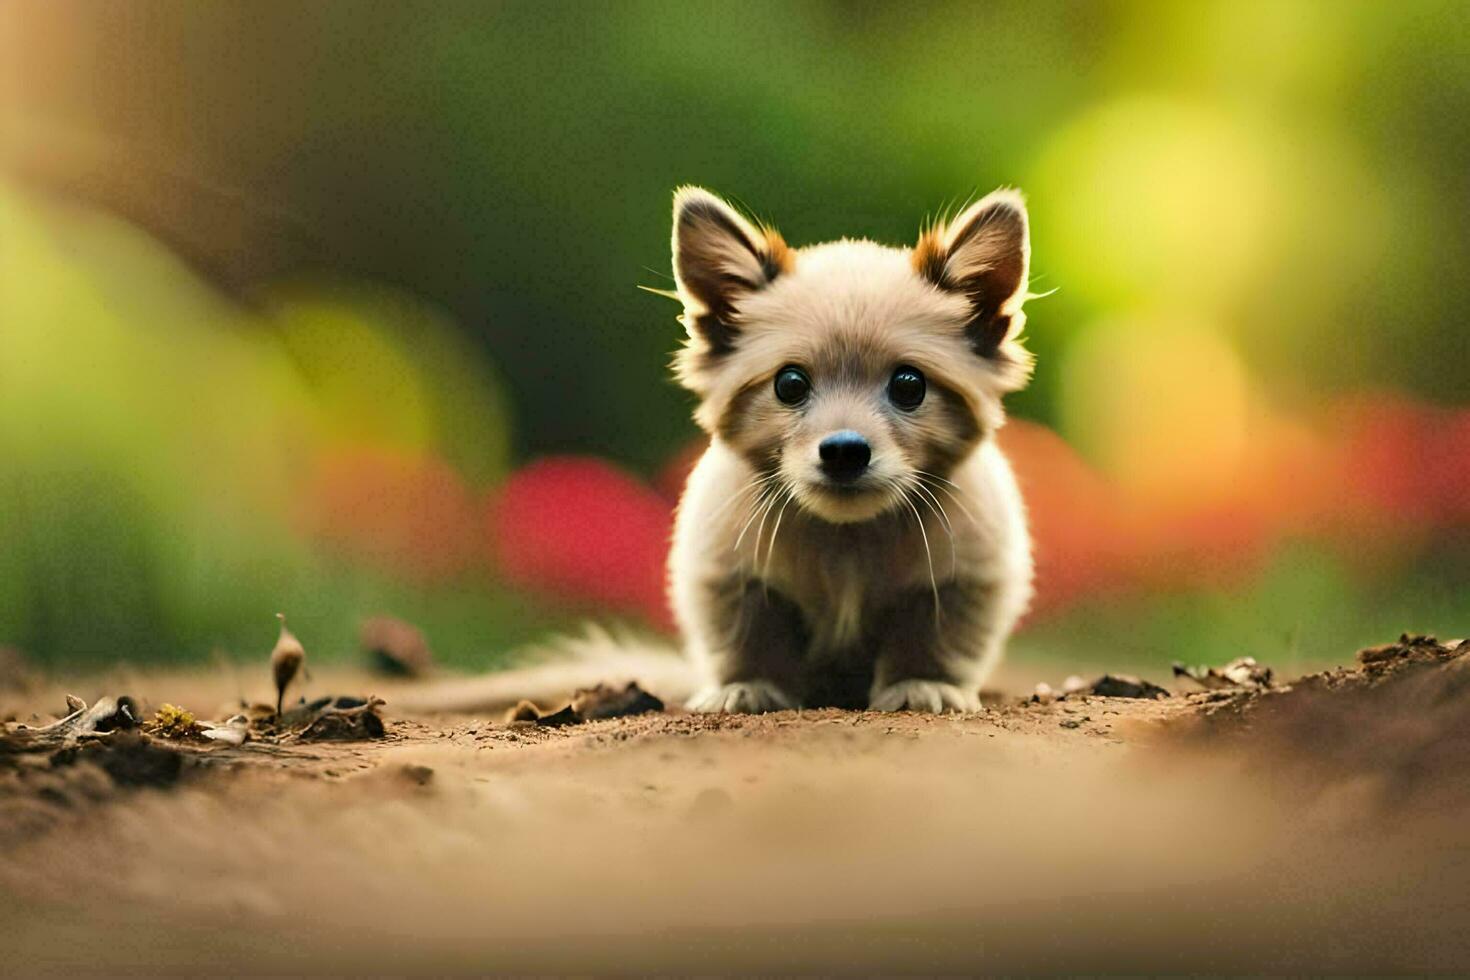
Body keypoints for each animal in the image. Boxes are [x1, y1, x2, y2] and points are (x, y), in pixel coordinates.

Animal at [667, 188, 1034, 717]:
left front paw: (922, 685)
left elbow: (933, 639)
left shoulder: (964, 577)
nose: (844, 451)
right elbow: (748, 636)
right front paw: (746, 687)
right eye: (790, 383)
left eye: (909, 385)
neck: (848, 541)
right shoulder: (724, 572)